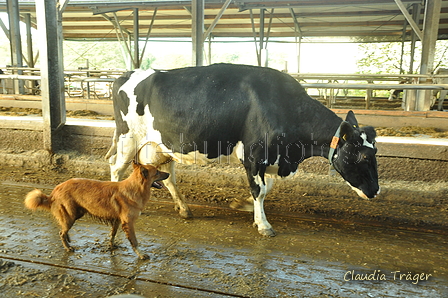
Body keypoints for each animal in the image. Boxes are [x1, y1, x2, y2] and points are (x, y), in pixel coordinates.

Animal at [24, 163, 168, 258]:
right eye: (157, 172)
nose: (169, 173)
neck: (134, 188)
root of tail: (54, 192)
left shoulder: (117, 220)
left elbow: (112, 234)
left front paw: (111, 246)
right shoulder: (128, 223)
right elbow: (134, 241)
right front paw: (141, 255)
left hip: (76, 214)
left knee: (63, 230)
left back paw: (68, 239)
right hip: (71, 215)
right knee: (61, 232)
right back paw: (68, 247)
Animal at [107, 64, 380, 236]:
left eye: (375, 153)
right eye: (362, 156)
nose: (376, 191)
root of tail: (126, 74)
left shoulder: (271, 158)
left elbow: (265, 189)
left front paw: (244, 205)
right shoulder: (254, 154)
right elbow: (259, 190)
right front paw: (263, 224)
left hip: (161, 146)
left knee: (168, 177)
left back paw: (184, 209)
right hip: (128, 138)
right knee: (116, 168)